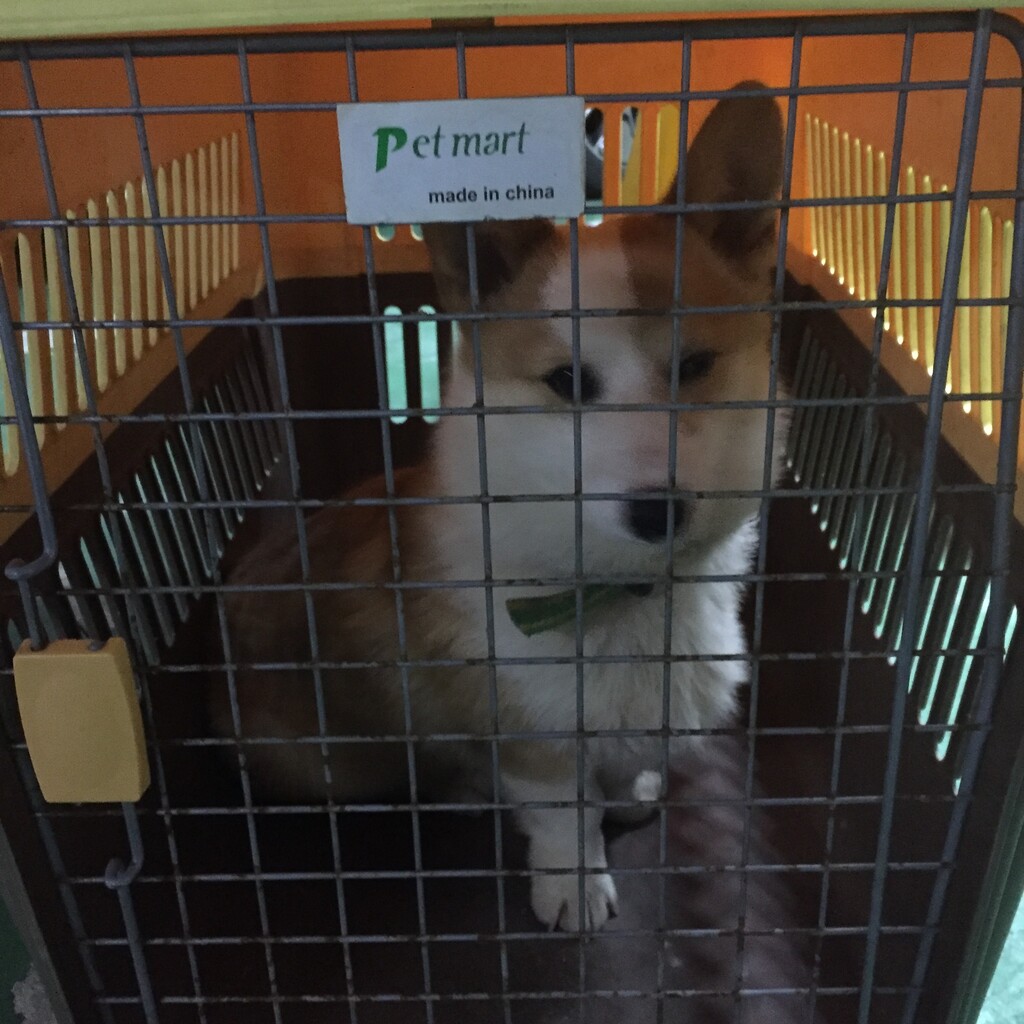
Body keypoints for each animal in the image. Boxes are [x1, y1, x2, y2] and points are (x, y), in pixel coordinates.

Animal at [212, 81, 786, 935]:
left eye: (694, 365)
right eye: (567, 382)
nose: (659, 512)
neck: (623, 592)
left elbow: (620, 770)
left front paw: (630, 794)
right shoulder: (534, 736)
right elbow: (562, 815)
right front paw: (574, 885)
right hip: (332, 763)